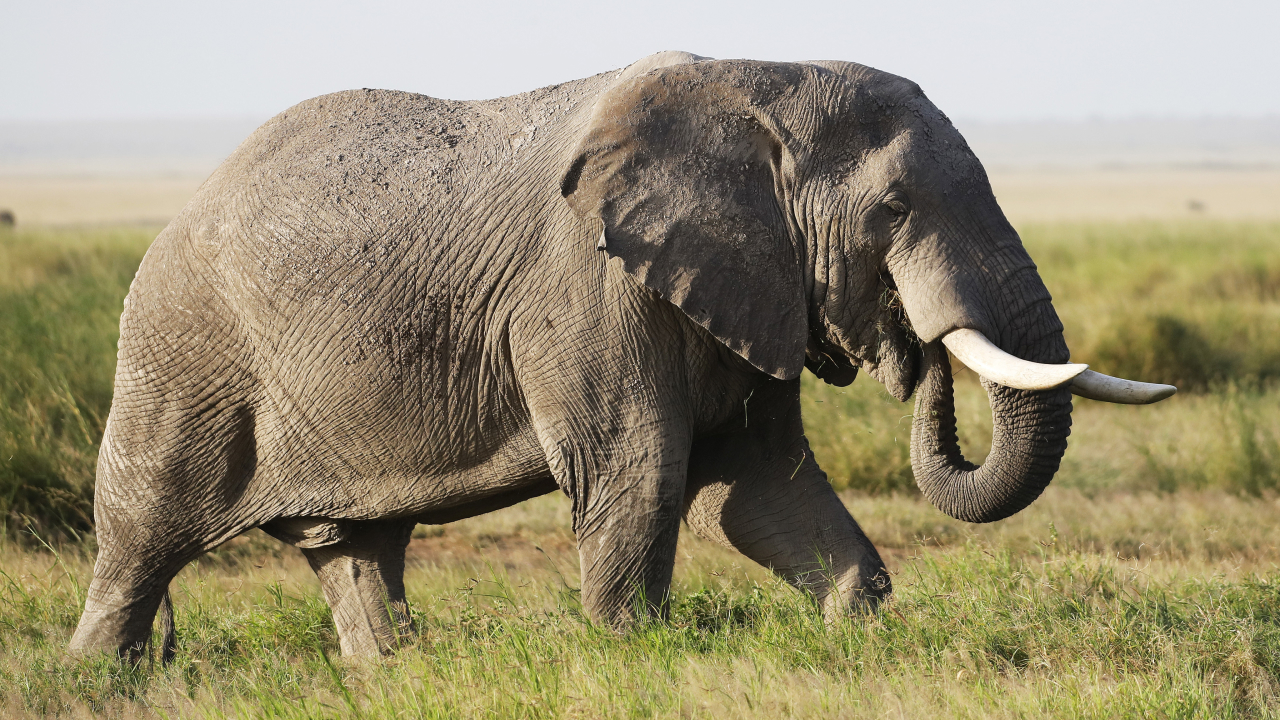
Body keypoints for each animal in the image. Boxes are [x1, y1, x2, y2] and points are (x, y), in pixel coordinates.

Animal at [69, 51, 1173, 660]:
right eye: (894, 210)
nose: (917, 348)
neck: (758, 80)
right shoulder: (584, 285)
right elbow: (639, 468)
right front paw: (629, 653)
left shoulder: (741, 279)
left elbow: (760, 488)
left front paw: (855, 636)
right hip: (182, 350)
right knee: (138, 533)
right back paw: (96, 680)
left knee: (357, 549)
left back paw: (389, 676)